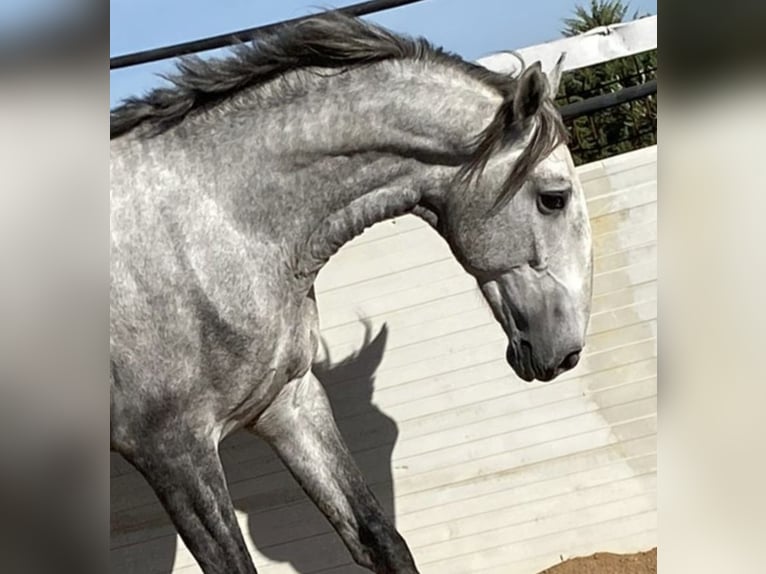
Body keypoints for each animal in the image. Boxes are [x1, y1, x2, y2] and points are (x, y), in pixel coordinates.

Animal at [111, 12, 596, 574]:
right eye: (554, 198)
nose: (566, 353)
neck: (211, 226)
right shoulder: (173, 452)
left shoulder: (287, 402)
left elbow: (378, 537)